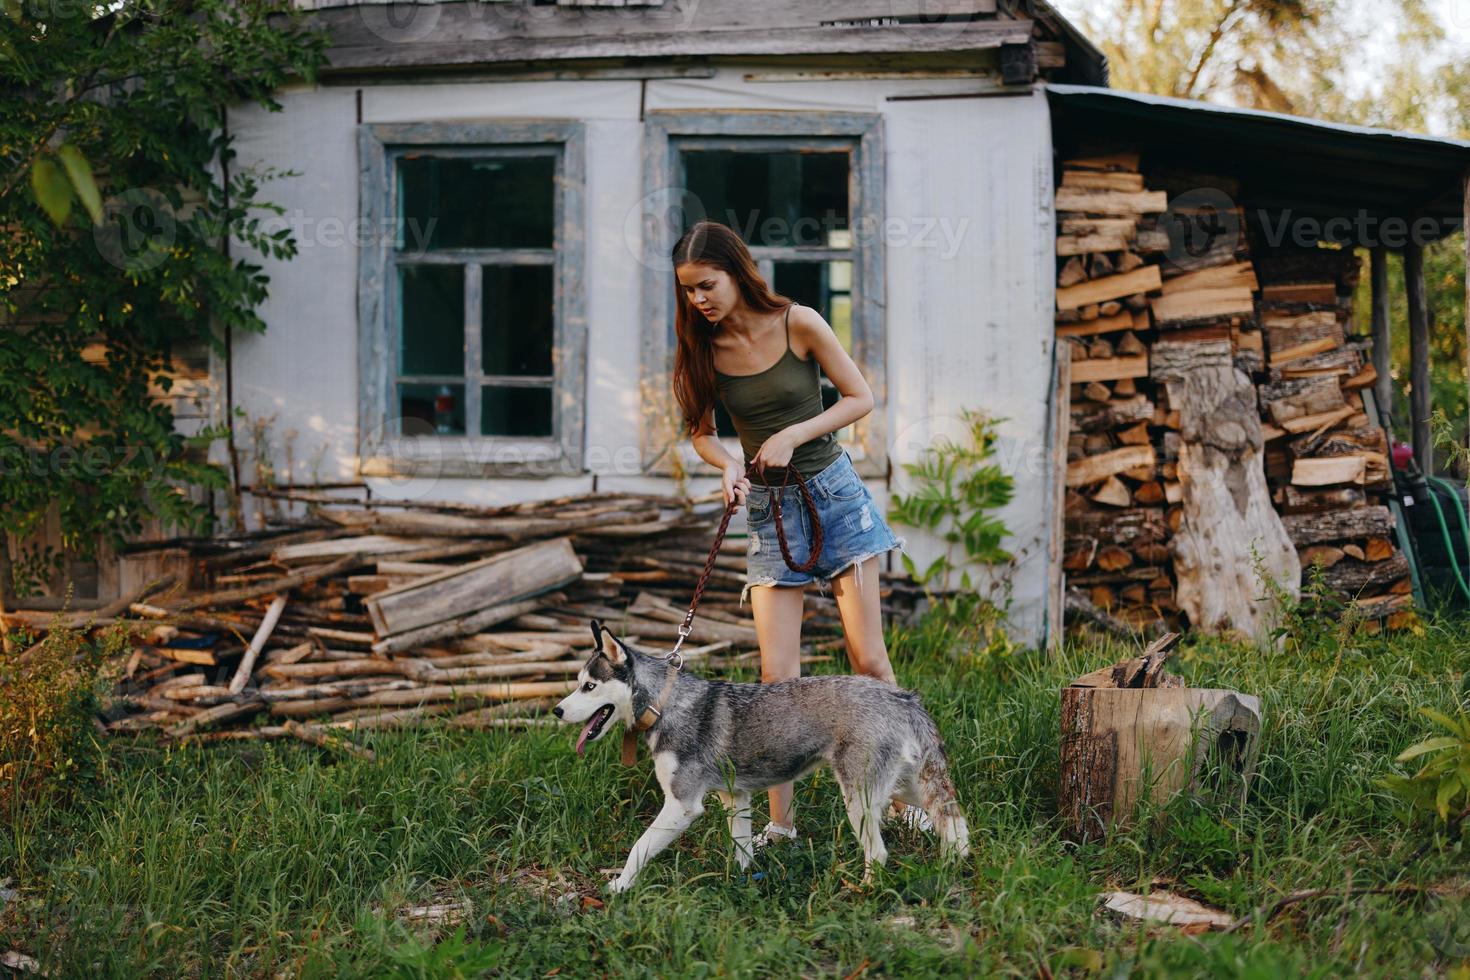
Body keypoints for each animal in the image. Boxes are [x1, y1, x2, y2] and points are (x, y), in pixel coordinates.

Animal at [549, 625, 964, 893]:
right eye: (578, 683)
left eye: (589, 686)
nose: (556, 710)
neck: (664, 703)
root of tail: (902, 698)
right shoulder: (737, 798)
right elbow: (742, 850)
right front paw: (743, 883)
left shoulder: (682, 806)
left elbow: (638, 848)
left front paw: (620, 885)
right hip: (905, 786)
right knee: (955, 822)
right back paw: (951, 864)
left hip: (859, 800)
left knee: (878, 853)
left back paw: (863, 892)